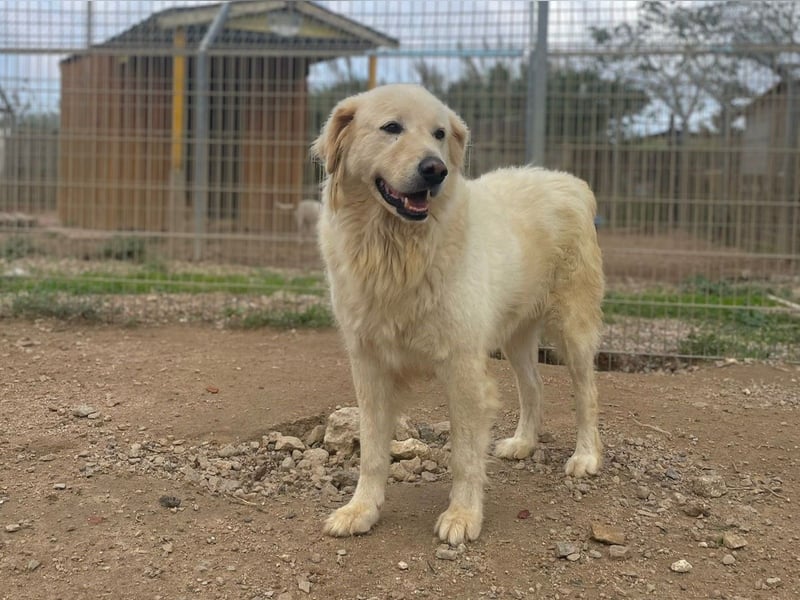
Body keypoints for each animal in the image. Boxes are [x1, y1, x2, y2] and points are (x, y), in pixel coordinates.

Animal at [310, 82, 604, 548]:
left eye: (440, 134)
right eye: (391, 128)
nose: (435, 170)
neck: (394, 249)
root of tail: (570, 181)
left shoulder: (462, 365)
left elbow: (465, 455)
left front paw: (463, 516)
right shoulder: (368, 365)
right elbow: (372, 452)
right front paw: (361, 510)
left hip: (573, 329)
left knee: (586, 394)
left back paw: (586, 456)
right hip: (515, 335)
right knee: (533, 386)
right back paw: (523, 443)